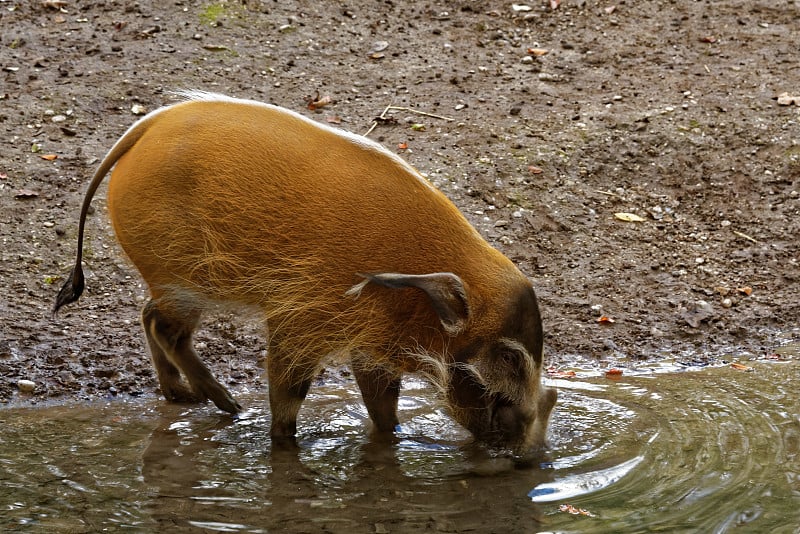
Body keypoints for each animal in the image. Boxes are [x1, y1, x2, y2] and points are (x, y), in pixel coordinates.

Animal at [54, 92, 556, 452]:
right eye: (506, 361)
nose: (525, 451)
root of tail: (145, 127)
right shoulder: (302, 320)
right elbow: (288, 395)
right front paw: (283, 446)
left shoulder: (369, 344)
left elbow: (382, 406)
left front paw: (391, 442)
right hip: (183, 278)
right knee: (163, 327)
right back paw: (229, 405)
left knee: (148, 316)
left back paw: (181, 396)